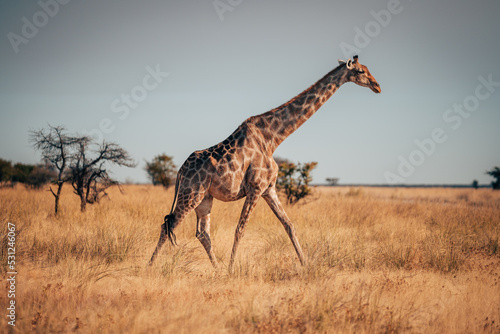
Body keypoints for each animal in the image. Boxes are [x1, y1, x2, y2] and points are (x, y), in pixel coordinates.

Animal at [150, 54, 380, 272]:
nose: (377, 86)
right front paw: (232, 270)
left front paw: (305, 264)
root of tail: (180, 171)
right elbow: (240, 229)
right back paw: (150, 266)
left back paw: (216, 270)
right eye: (360, 71)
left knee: (202, 233)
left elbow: (289, 225)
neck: (273, 139)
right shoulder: (255, 187)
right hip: (190, 194)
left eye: (367, 69)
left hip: (205, 198)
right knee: (168, 226)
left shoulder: (269, 188)